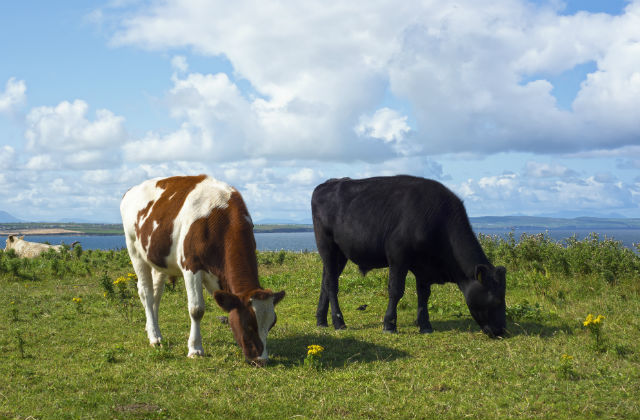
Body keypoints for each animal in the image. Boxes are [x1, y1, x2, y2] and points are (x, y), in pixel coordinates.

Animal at [120, 174, 284, 364]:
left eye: (272, 323)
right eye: (248, 324)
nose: (261, 359)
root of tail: (131, 190)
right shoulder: (191, 266)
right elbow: (197, 309)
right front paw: (195, 349)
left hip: (158, 259)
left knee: (156, 294)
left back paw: (153, 329)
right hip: (134, 250)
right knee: (145, 292)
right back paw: (154, 337)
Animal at [312, 176, 508, 336]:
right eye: (497, 299)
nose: (502, 330)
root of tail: (328, 183)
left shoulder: (424, 266)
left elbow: (424, 294)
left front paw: (425, 325)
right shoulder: (397, 255)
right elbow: (396, 290)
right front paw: (389, 325)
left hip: (340, 254)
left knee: (325, 282)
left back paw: (321, 320)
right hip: (327, 246)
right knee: (332, 285)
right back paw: (338, 322)